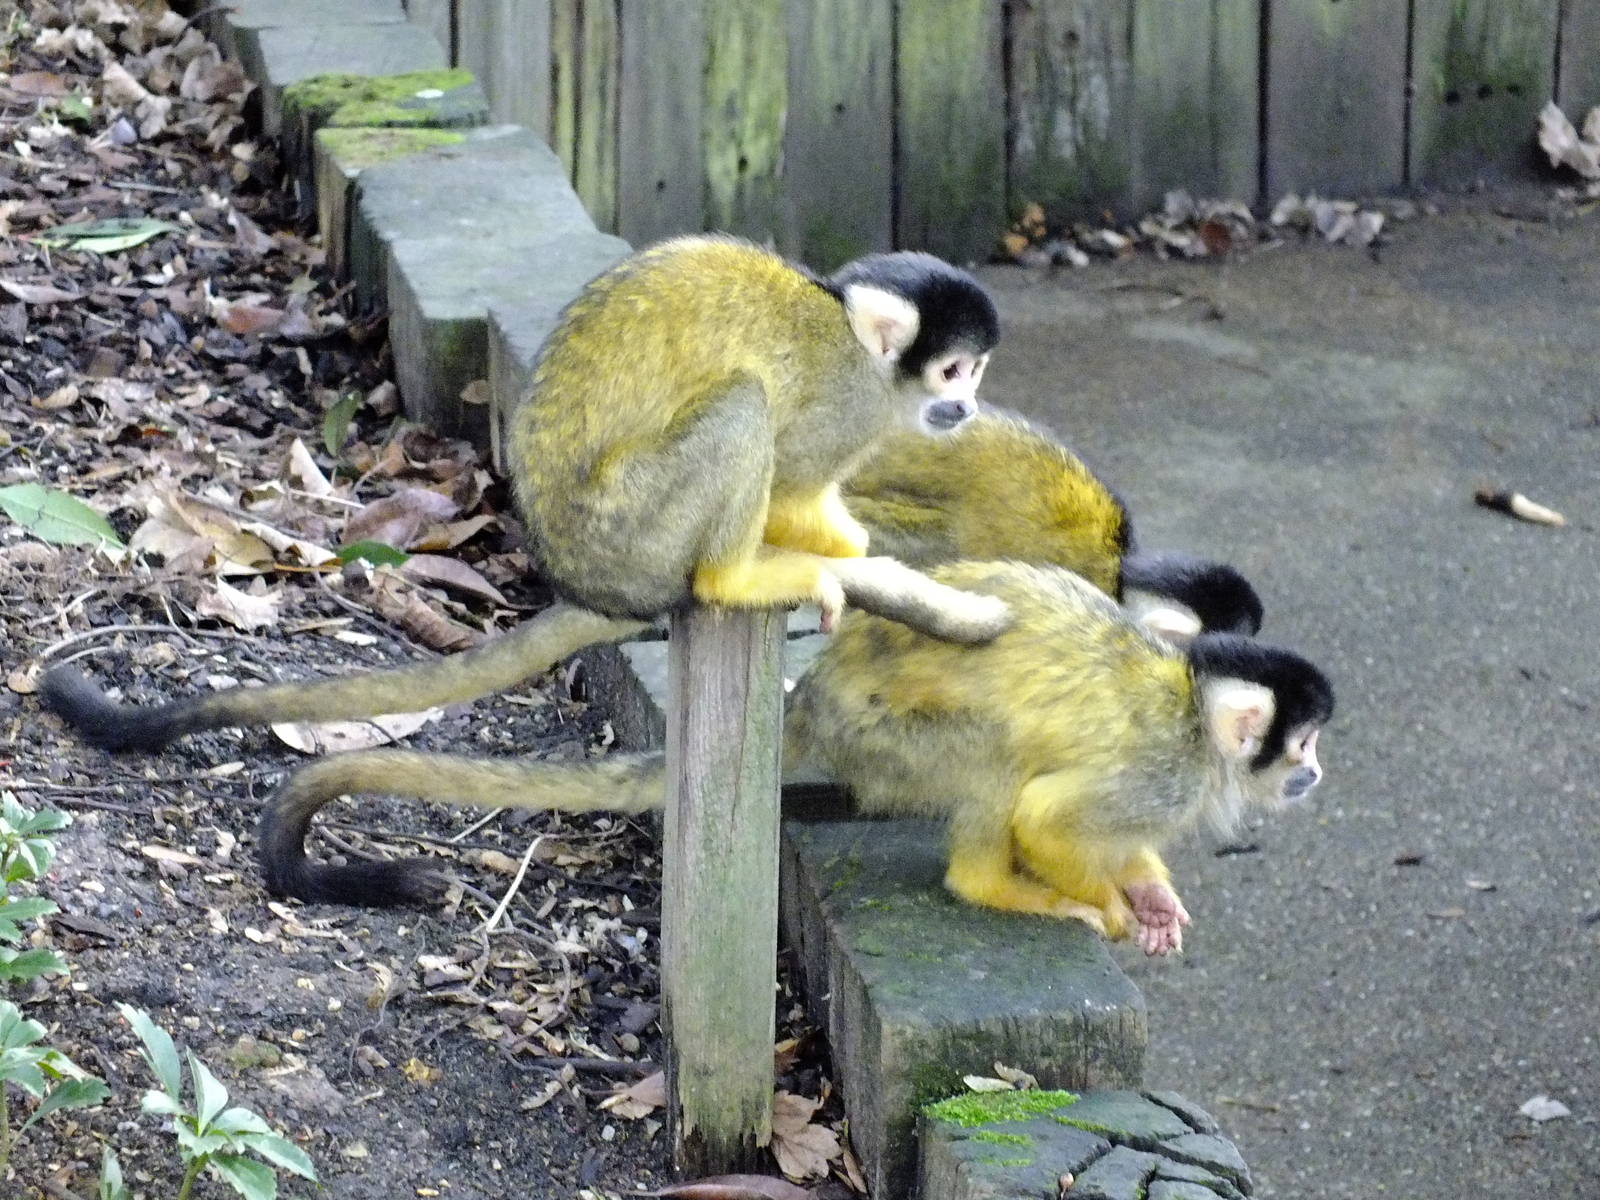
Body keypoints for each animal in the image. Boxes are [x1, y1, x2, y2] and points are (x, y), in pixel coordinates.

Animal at [252, 560, 1333, 957]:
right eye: (1304, 742)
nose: (1317, 773)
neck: (1195, 722)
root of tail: (808, 698)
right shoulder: (1161, 769)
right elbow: (1053, 817)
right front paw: (1107, 907)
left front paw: (1151, 895)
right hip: (883, 733)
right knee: (996, 764)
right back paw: (994, 887)